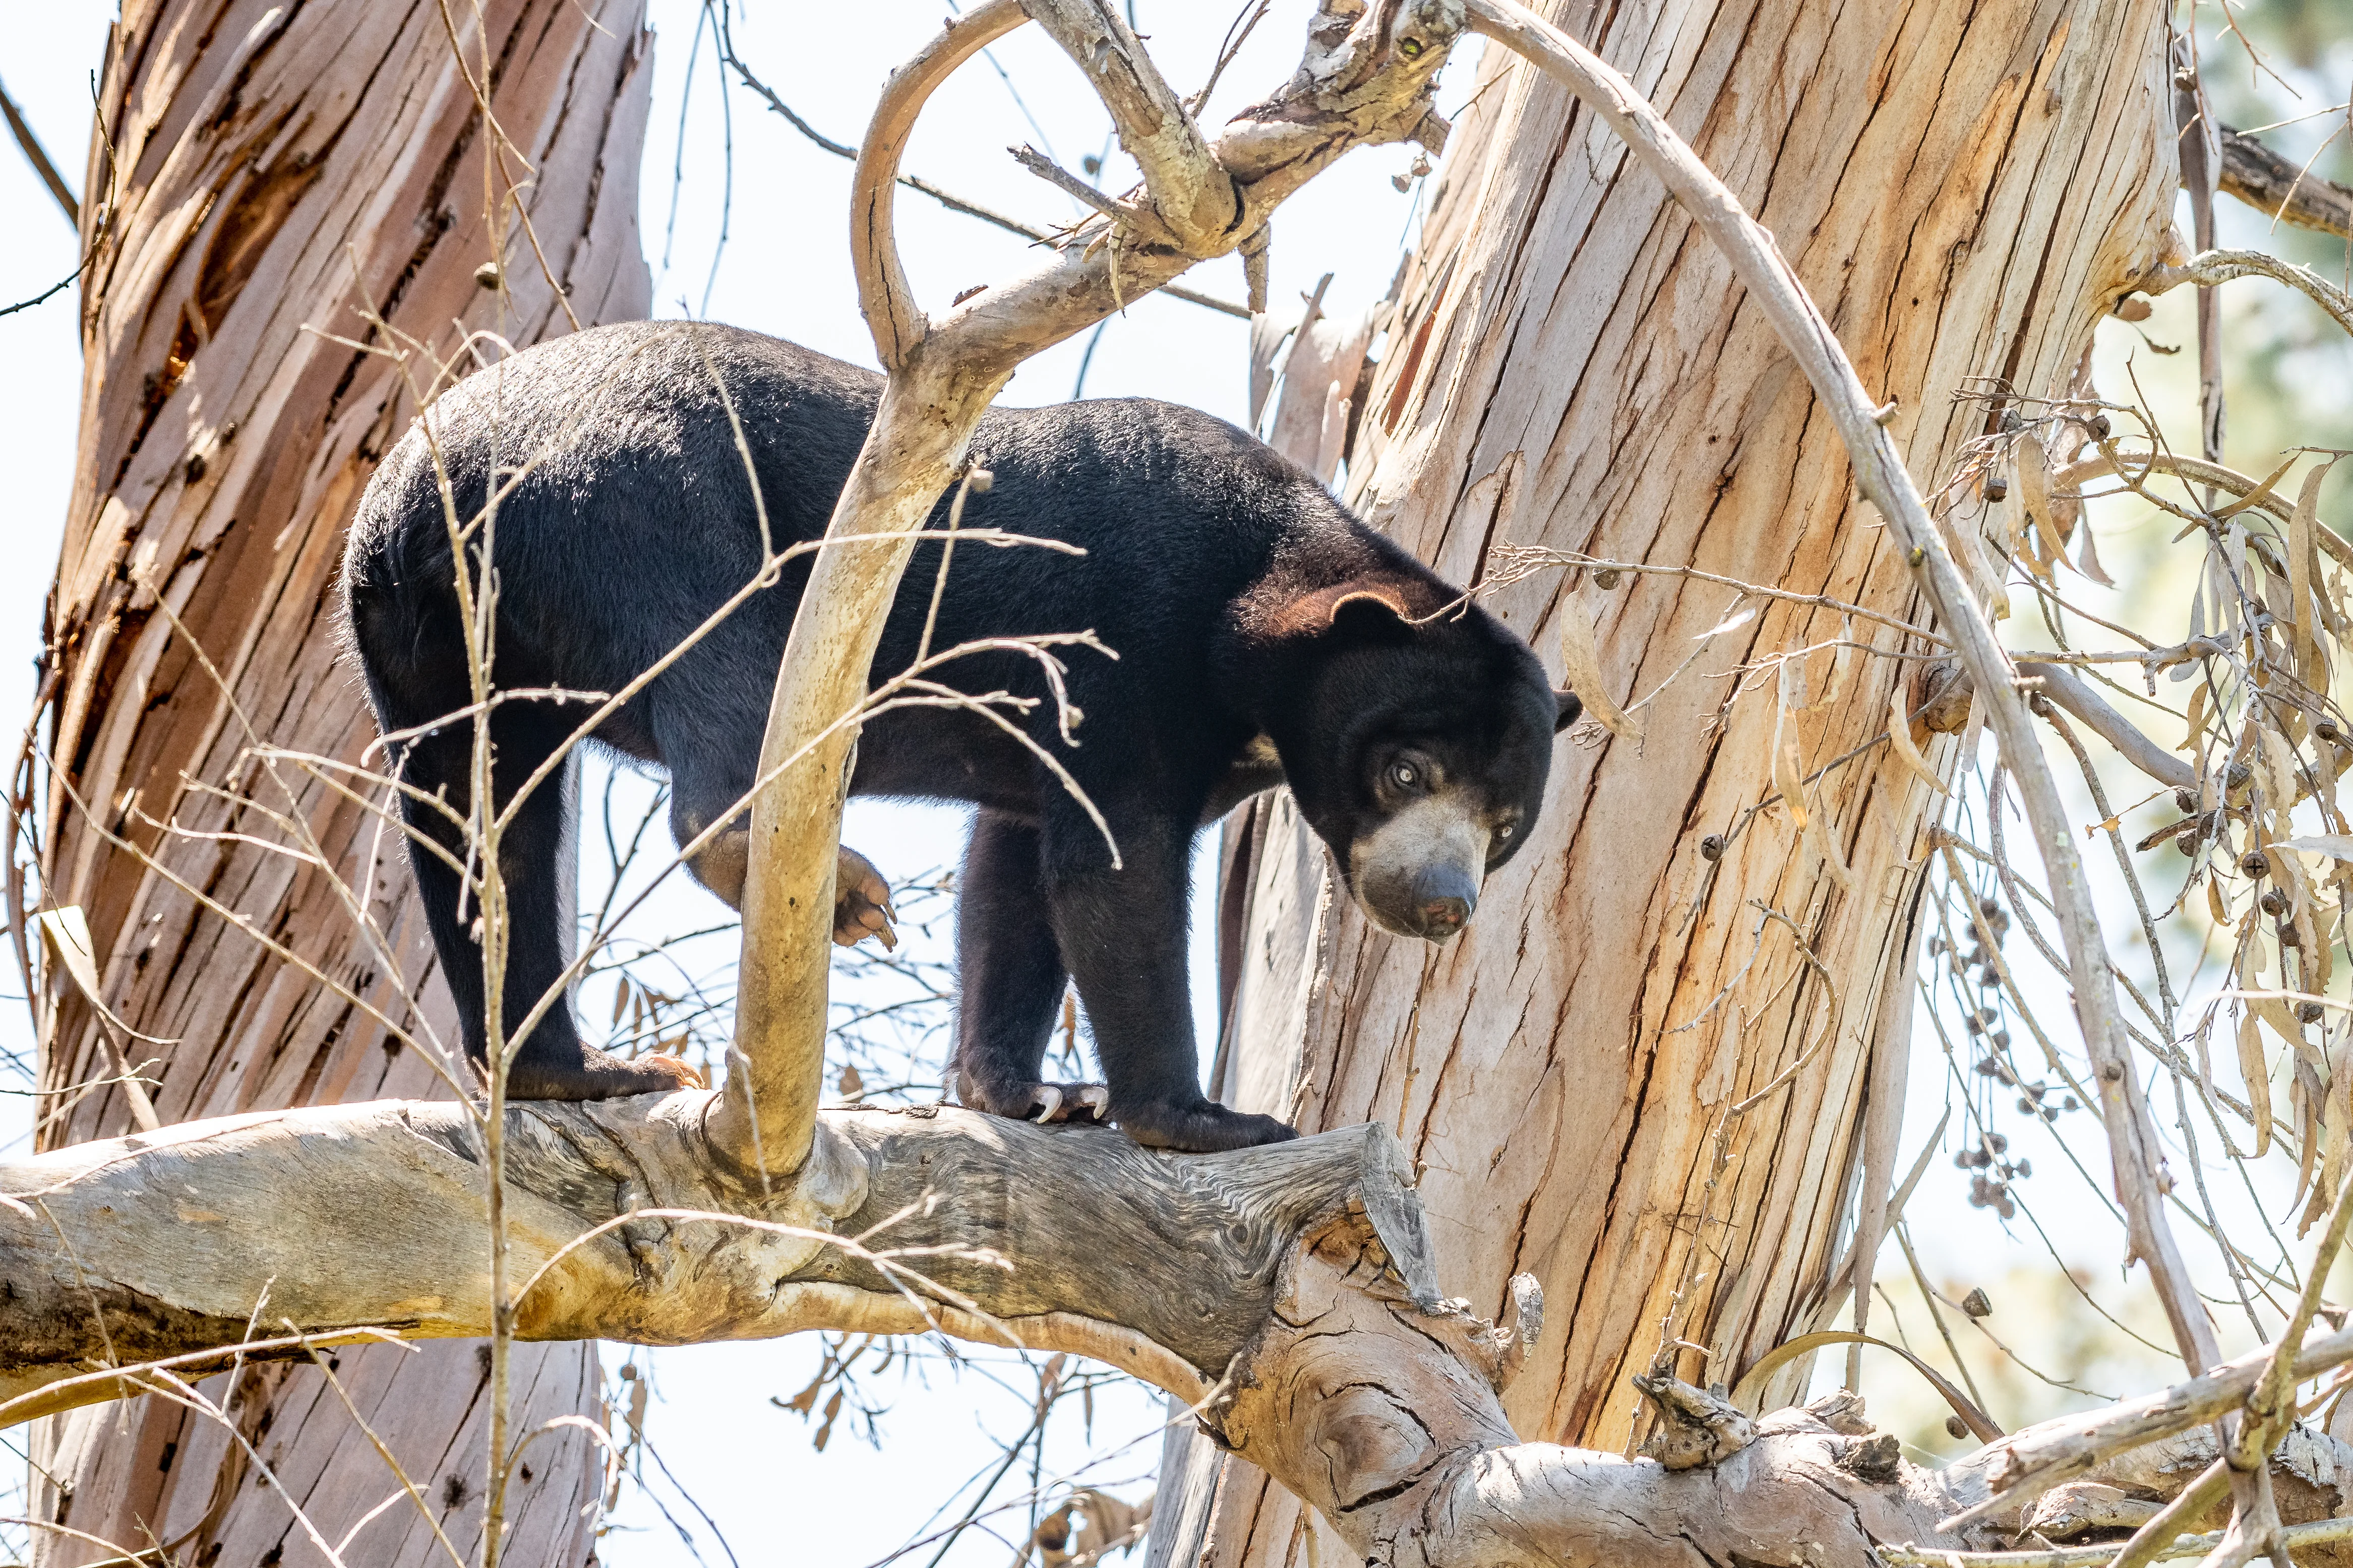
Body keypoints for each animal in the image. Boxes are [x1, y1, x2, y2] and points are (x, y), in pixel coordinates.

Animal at [341, 321, 1578, 1153]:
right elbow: (1113, 871)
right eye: (1404, 769)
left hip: (426, 644)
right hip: (641, 504)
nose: (1439, 904)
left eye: (1505, 822)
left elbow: (1014, 876)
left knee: (482, 829)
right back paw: (827, 888)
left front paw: (1028, 1094)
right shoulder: (1128, 643)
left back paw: (574, 1070)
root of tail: (431, 475)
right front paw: (1203, 1117)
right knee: (728, 671)